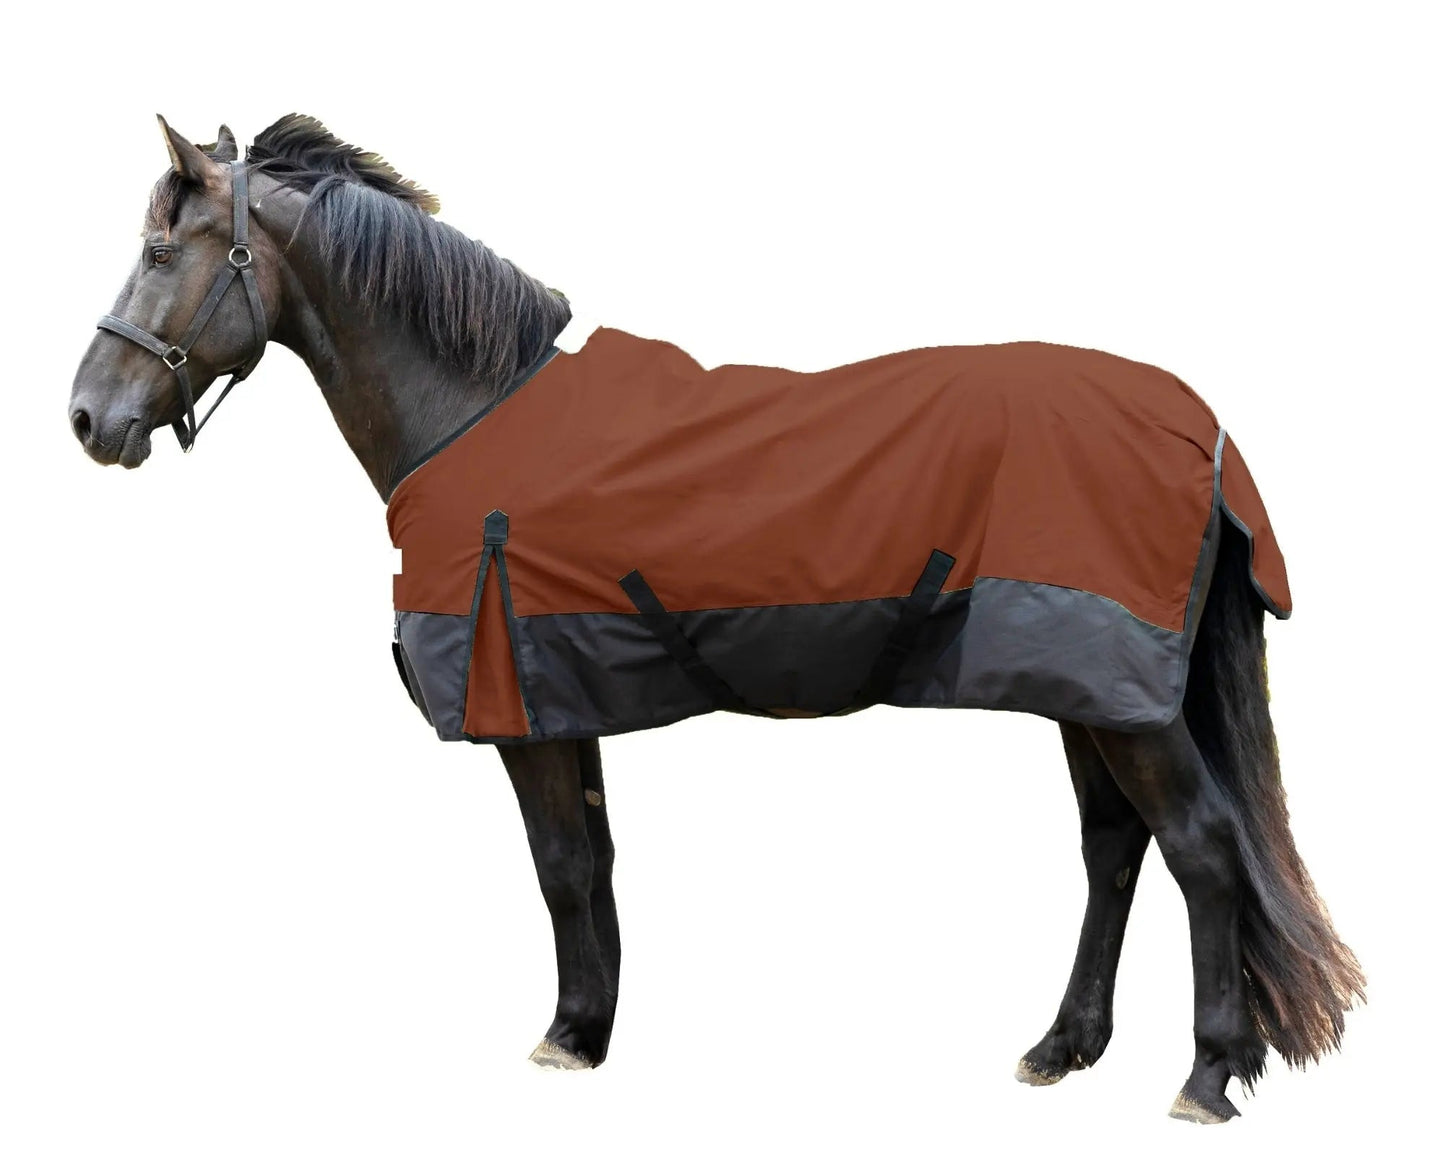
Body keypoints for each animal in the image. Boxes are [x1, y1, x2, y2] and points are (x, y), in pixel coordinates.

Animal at [66, 114, 1363, 1124]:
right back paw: (1061, 1048)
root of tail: (1197, 430)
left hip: (1122, 701)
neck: (472, 410)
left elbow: (557, 864)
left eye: (158, 250)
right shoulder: (560, 694)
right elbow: (590, 862)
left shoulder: (520, 705)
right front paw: (589, 1028)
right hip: (1083, 691)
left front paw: (563, 1037)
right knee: (1112, 849)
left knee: (1199, 848)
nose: (86, 417)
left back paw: (1203, 1075)